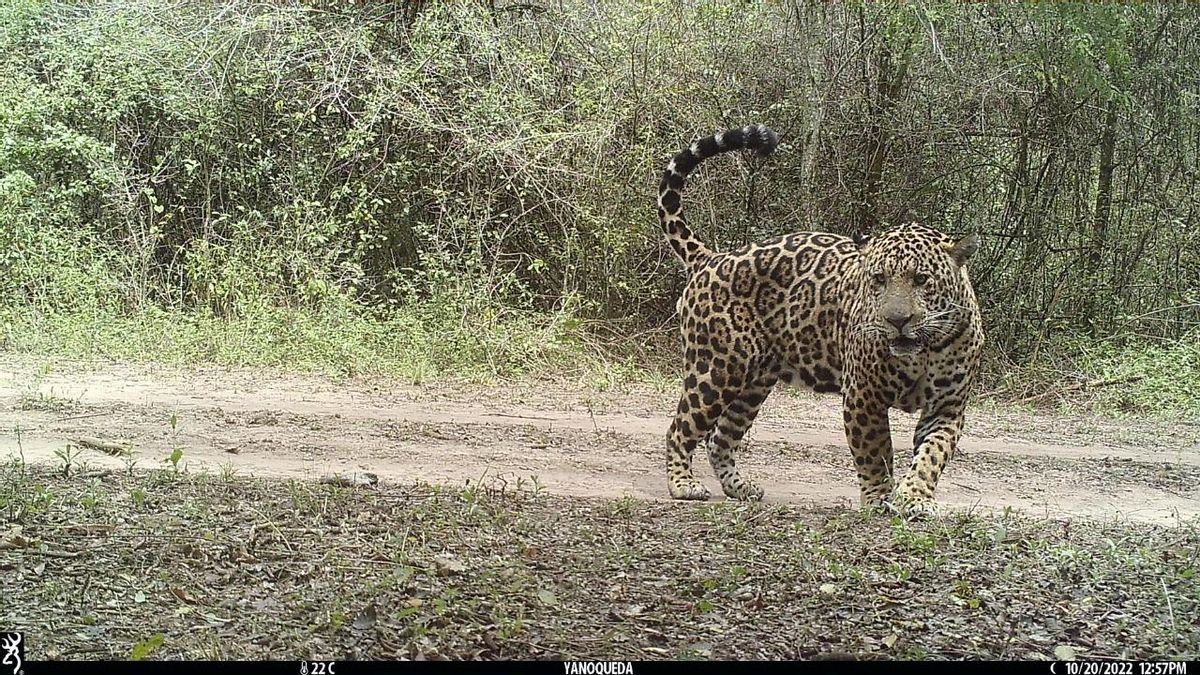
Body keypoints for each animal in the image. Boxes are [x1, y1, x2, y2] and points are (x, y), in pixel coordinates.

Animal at [656, 123, 985, 517]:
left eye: (921, 279)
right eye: (878, 279)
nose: (897, 320)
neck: (924, 351)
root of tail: (712, 257)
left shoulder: (947, 407)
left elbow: (932, 455)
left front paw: (915, 498)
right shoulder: (863, 397)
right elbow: (876, 453)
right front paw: (878, 499)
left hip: (755, 382)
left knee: (721, 437)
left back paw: (740, 487)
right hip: (716, 370)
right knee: (681, 428)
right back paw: (682, 484)